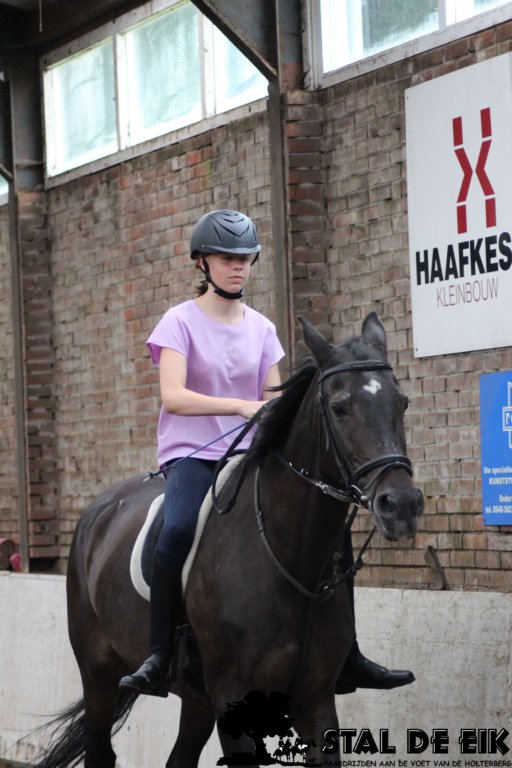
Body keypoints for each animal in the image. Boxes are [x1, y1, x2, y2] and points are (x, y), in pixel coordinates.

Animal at [32, 312, 423, 768]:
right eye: (340, 407)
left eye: (402, 402)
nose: (401, 505)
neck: (285, 557)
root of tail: (98, 510)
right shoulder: (233, 699)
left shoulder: (315, 698)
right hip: (99, 674)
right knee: (100, 748)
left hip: (196, 696)